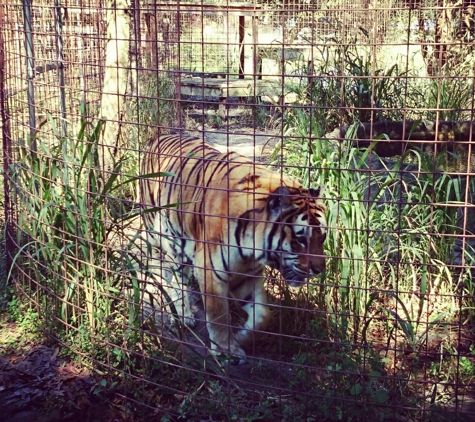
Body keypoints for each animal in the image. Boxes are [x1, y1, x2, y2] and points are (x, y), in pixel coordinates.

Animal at [140, 134, 328, 356]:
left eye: (323, 238)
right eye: (301, 239)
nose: (319, 270)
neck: (251, 249)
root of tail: (158, 137)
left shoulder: (247, 274)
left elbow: (262, 315)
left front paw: (242, 338)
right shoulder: (211, 272)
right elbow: (219, 316)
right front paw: (226, 349)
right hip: (165, 238)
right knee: (173, 277)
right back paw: (184, 314)